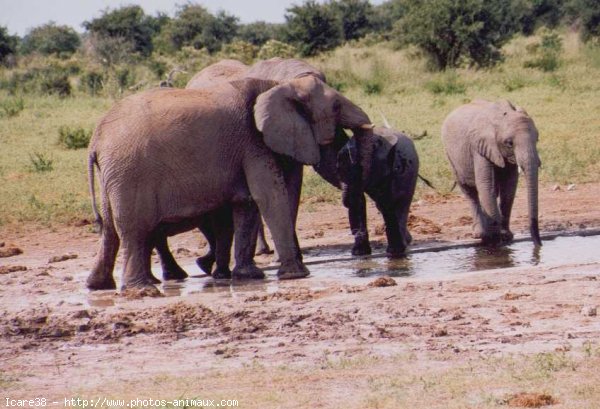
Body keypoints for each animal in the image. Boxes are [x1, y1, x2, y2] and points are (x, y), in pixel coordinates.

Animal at [86, 76, 372, 290]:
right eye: (336, 106)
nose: (360, 250)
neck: (278, 85)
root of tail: (96, 139)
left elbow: (246, 203)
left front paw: (248, 276)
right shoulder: (252, 141)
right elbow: (269, 196)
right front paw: (296, 275)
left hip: (114, 175)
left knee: (111, 230)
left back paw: (98, 286)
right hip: (130, 173)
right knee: (135, 230)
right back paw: (144, 289)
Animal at [440, 99, 544, 245]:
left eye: (537, 139)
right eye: (509, 143)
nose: (538, 245)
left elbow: (509, 188)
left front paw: (505, 236)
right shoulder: (479, 148)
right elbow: (485, 183)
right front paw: (494, 240)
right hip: (451, 157)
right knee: (470, 192)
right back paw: (480, 233)